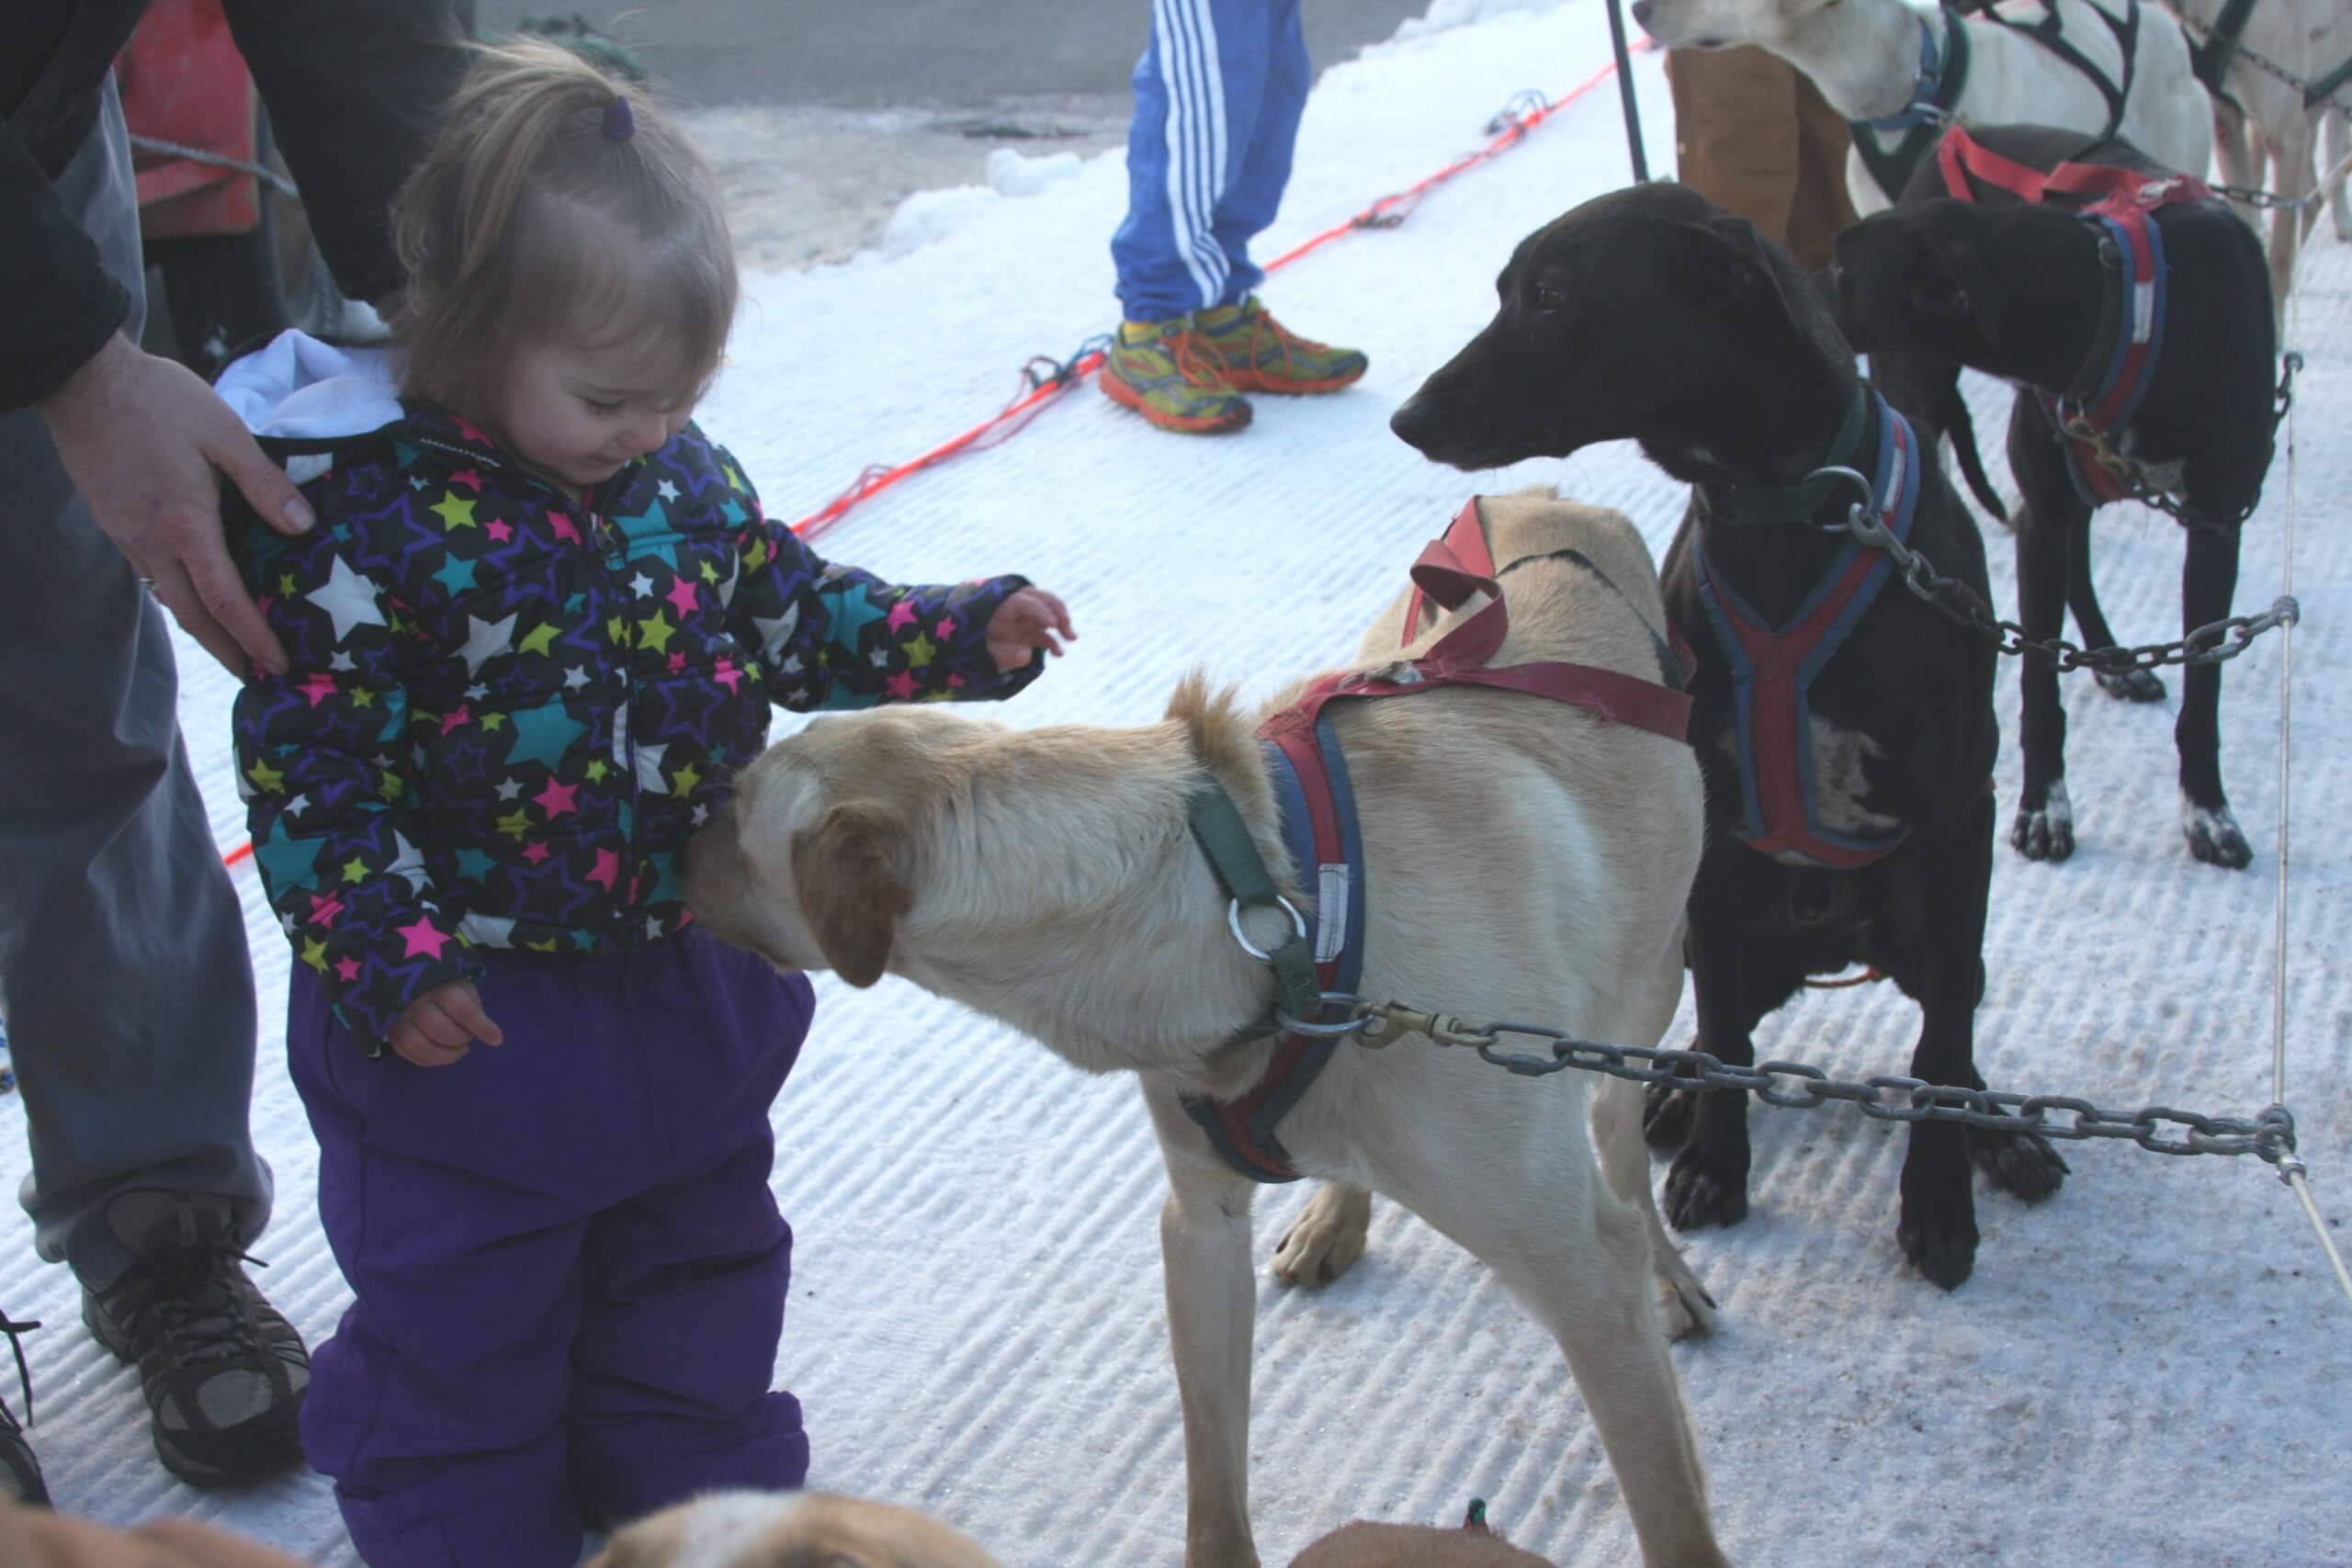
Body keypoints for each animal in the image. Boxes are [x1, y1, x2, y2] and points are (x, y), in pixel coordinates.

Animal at [686, 495, 1740, 1568]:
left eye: (730, 811)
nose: (664, 849)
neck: (1265, 911)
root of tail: (1554, 501)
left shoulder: (1578, 1270)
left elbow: (1671, 1511)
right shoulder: (1198, 1221)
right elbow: (1212, 1482)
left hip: (1645, 987)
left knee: (1615, 1133)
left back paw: (1664, 1271)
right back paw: (1336, 1213)